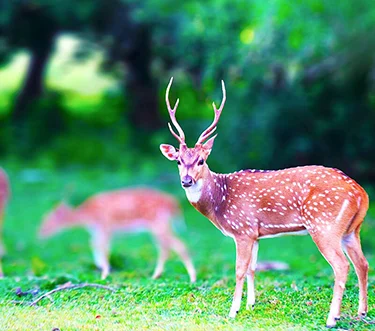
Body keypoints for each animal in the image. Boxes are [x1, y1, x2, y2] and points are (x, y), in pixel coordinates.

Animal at [39, 189, 197, 282]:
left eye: (48, 219)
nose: (39, 233)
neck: (88, 217)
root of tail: (175, 205)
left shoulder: (105, 226)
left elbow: (102, 246)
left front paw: (104, 273)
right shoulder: (101, 229)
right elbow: (96, 244)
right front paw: (102, 268)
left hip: (158, 224)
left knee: (177, 245)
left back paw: (192, 278)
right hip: (159, 226)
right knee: (166, 247)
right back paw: (157, 275)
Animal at [159, 78, 370, 330]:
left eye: (201, 160)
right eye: (179, 161)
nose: (186, 180)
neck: (220, 201)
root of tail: (361, 193)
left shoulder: (242, 229)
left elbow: (239, 269)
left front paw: (233, 310)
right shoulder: (256, 233)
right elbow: (253, 267)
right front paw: (250, 305)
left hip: (324, 225)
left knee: (341, 266)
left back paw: (332, 318)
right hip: (351, 229)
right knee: (362, 264)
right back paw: (362, 312)